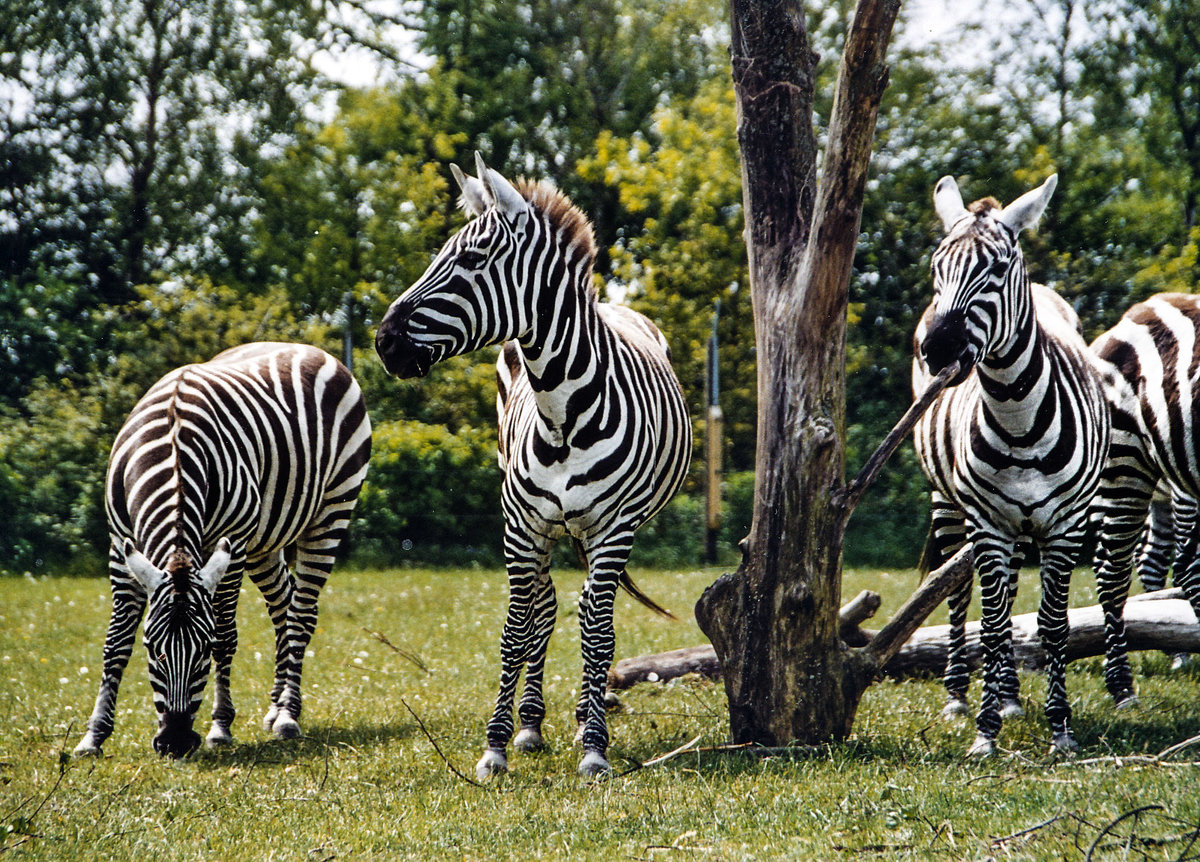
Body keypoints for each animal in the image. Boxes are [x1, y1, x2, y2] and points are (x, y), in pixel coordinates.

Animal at [71, 340, 369, 758]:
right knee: (283, 605)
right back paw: (275, 709)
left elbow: (226, 635)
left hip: (331, 511)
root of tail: (309, 348)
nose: (176, 743)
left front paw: (220, 726)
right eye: (154, 649)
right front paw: (94, 735)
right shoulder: (119, 544)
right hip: (264, 542)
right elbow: (116, 640)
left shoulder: (233, 541)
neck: (173, 451)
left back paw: (288, 714)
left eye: (202, 650)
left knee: (301, 613)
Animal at [374, 154, 696, 782]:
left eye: (472, 259)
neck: (563, 411)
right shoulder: (520, 525)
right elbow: (516, 627)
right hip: (540, 525)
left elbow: (597, 632)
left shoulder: (612, 529)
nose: (383, 341)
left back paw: (580, 718)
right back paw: (530, 725)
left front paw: (594, 745)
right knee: (546, 610)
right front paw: (496, 744)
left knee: (589, 614)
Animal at [907, 174, 1113, 758]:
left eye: (997, 268)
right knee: (959, 596)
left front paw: (1060, 728)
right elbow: (994, 625)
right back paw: (964, 695)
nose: (938, 348)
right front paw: (985, 733)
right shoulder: (987, 524)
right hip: (947, 503)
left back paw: (1011, 696)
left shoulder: (1065, 525)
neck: (1017, 417)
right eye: (937, 267)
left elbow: (1052, 624)